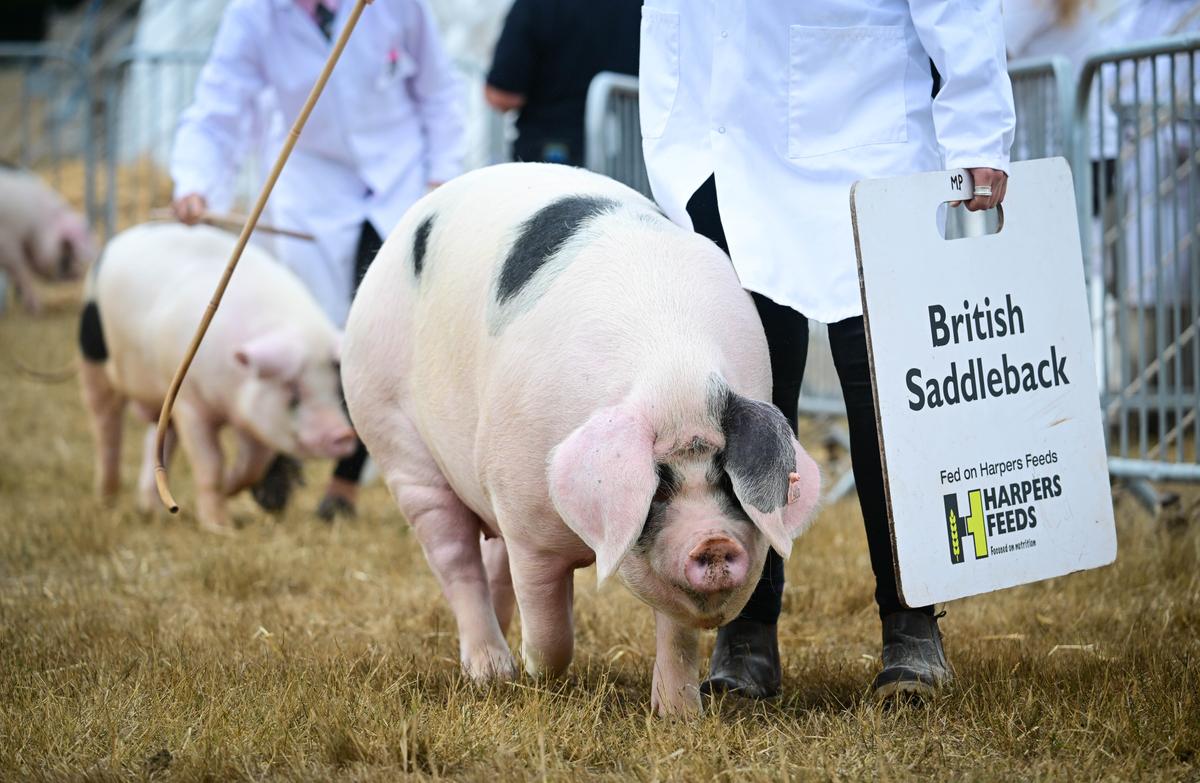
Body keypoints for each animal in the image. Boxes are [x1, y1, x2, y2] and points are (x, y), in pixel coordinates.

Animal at [79, 222, 356, 532]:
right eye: (293, 393)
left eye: (337, 390)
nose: (342, 434)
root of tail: (120, 239)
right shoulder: (188, 404)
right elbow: (211, 463)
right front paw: (219, 527)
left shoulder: (252, 417)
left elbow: (253, 465)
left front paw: (230, 489)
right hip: (93, 360)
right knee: (106, 427)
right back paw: (107, 499)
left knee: (158, 442)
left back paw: (152, 510)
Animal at [341, 163, 820, 715]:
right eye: (658, 487)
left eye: (725, 479)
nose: (714, 541)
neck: (672, 378)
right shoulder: (525, 516)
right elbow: (550, 621)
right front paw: (536, 672)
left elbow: (676, 636)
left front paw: (680, 716)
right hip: (393, 436)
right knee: (455, 559)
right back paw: (494, 671)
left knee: (488, 559)